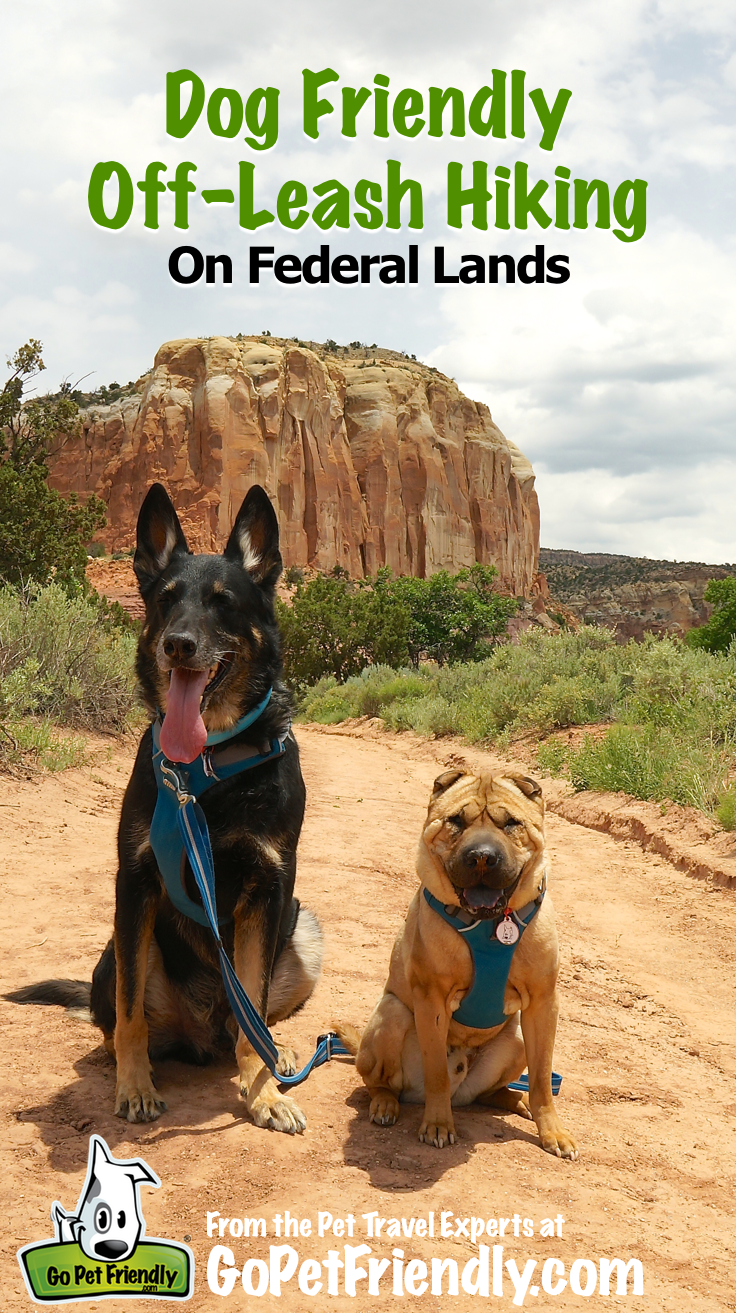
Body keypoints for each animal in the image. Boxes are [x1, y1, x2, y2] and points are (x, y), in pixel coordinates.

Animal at [7, 488, 320, 1134]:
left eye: (223, 602)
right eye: (165, 599)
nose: (177, 643)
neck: (208, 768)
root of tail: (200, 1033)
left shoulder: (271, 887)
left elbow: (254, 1003)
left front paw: (265, 1093)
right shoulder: (135, 882)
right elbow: (128, 1014)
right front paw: (134, 1086)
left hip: (304, 929)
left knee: (251, 1023)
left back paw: (277, 1053)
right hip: (118, 946)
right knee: (120, 1017)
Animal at [351, 766, 579, 1160]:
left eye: (511, 823)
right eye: (456, 820)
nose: (482, 857)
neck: (489, 923)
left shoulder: (543, 1004)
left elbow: (541, 1079)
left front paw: (552, 1130)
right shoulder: (432, 1001)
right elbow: (437, 1075)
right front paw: (438, 1125)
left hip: (518, 1037)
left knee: (494, 1092)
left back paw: (515, 1101)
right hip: (391, 1016)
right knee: (379, 1082)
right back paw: (385, 1104)